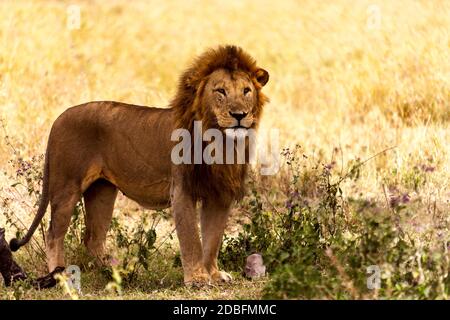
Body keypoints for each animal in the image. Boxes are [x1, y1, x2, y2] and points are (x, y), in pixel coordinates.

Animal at [10, 44, 268, 284]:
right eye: (220, 91)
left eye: (246, 91)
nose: (239, 115)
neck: (220, 141)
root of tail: (58, 118)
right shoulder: (182, 190)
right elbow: (192, 239)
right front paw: (197, 279)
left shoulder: (219, 194)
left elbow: (213, 238)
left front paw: (214, 274)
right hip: (66, 186)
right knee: (53, 233)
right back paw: (61, 275)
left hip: (102, 191)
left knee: (93, 237)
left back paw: (112, 272)